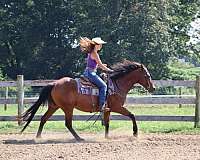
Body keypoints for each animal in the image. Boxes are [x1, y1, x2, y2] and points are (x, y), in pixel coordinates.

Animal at [19, 59, 155, 140]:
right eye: (147, 75)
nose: (153, 88)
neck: (116, 85)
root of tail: (55, 83)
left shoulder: (107, 109)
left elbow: (107, 123)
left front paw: (106, 137)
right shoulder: (117, 107)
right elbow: (132, 115)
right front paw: (135, 133)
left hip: (54, 106)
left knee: (43, 119)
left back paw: (38, 137)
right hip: (68, 108)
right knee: (68, 123)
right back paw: (79, 138)